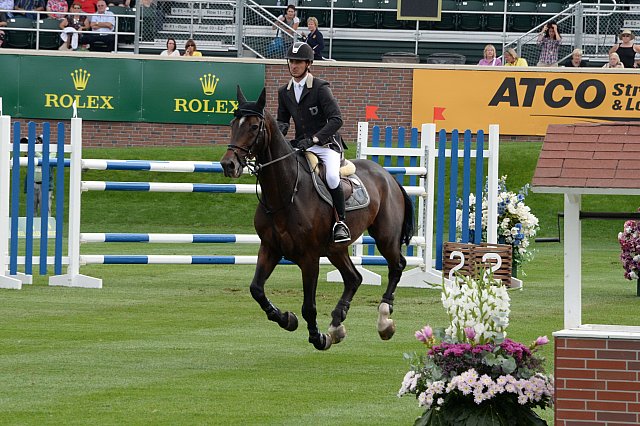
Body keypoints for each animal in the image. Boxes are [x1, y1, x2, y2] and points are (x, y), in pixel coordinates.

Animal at [220, 85, 416, 350]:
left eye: (253, 126)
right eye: (233, 124)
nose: (228, 164)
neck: (286, 193)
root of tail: (387, 176)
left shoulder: (309, 257)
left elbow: (309, 307)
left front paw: (317, 337)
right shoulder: (270, 248)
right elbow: (257, 290)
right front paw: (286, 319)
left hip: (385, 237)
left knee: (396, 266)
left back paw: (384, 321)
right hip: (336, 249)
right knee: (353, 278)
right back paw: (336, 325)